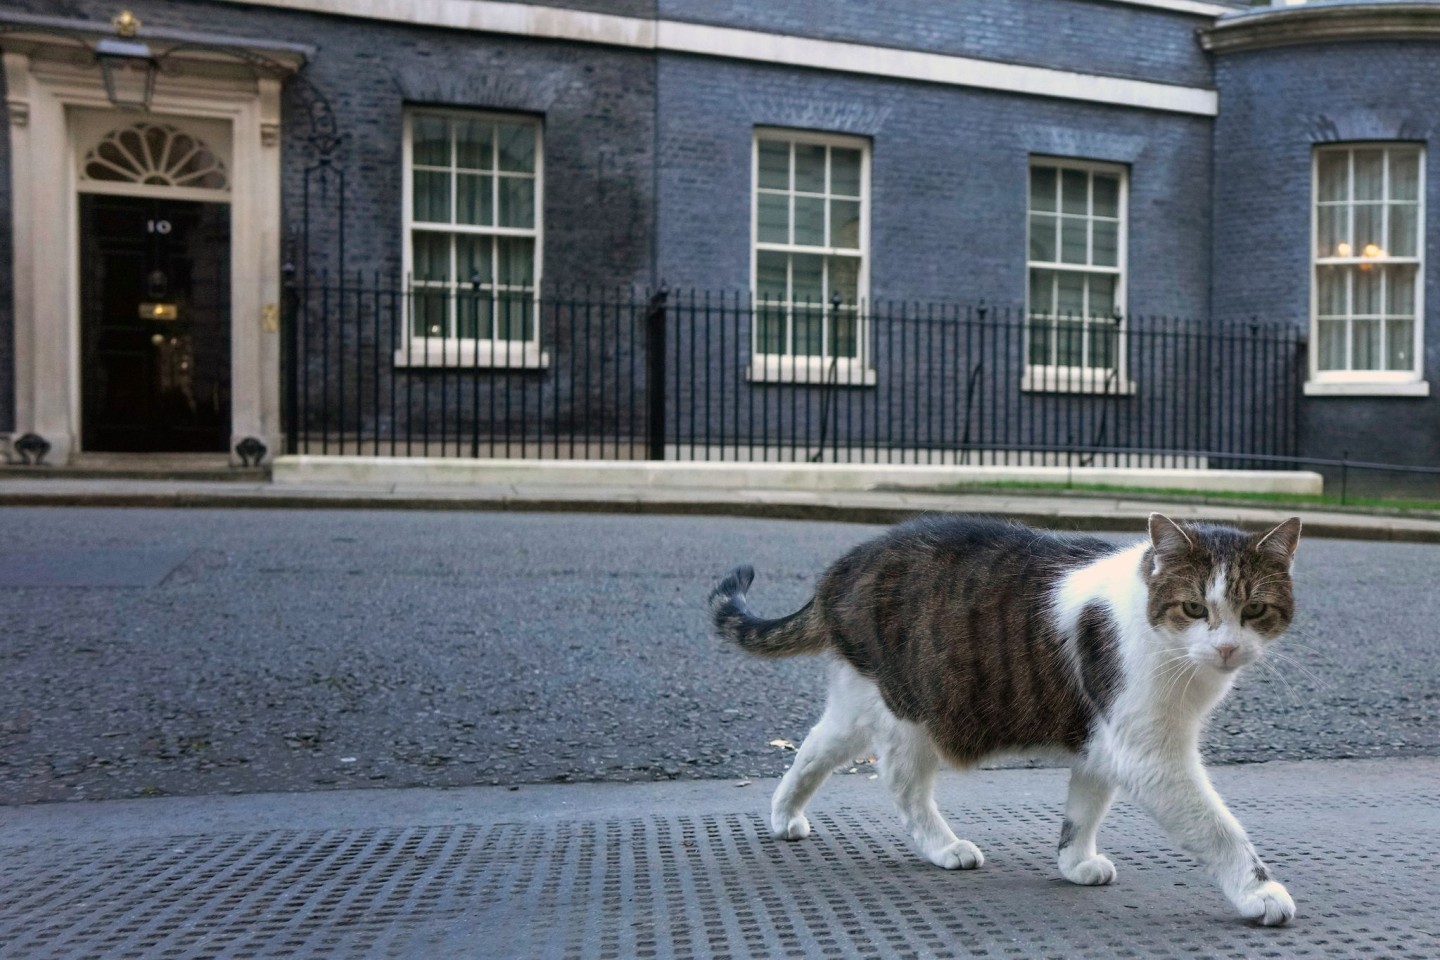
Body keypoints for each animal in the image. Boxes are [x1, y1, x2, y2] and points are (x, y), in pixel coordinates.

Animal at [708, 515, 1307, 926]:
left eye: (1254, 610)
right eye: (1194, 608)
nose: (1227, 648)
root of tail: (842, 567)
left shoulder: (1101, 737)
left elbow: (1084, 809)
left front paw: (1075, 862)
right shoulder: (1149, 753)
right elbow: (1219, 828)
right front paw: (1258, 892)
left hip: (861, 700)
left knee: (813, 748)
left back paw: (784, 814)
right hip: (910, 713)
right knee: (902, 786)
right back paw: (943, 847)